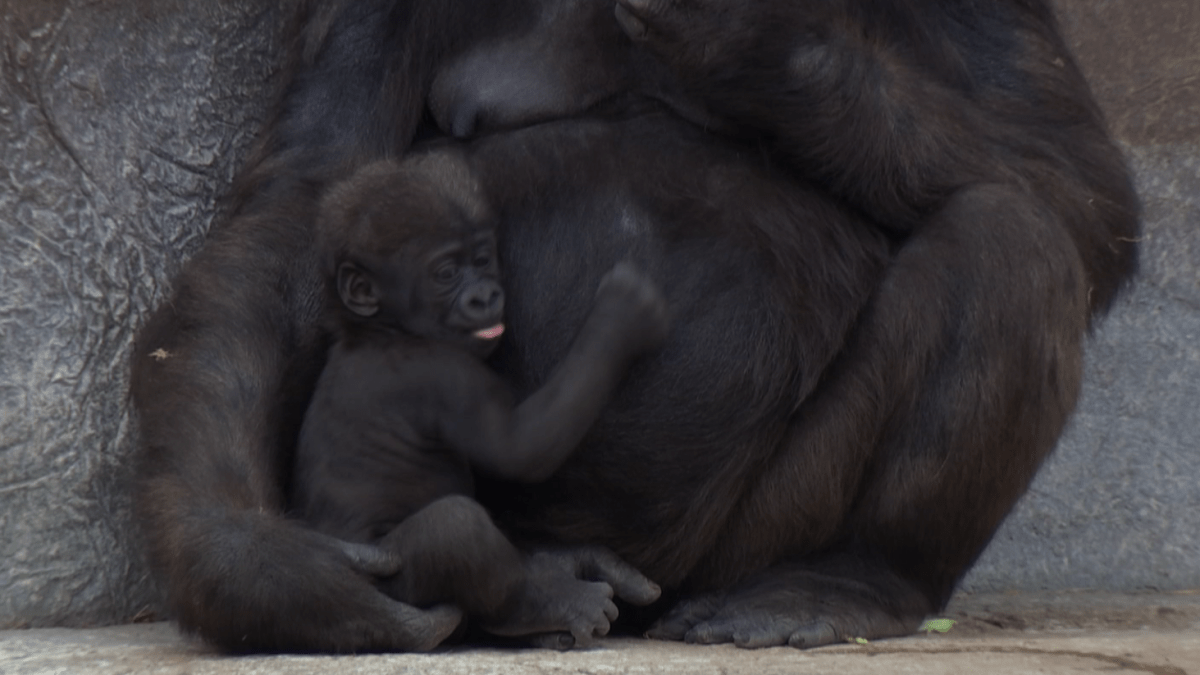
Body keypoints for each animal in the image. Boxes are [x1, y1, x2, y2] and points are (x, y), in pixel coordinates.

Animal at [289, 153, 667, 648]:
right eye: (446, 273)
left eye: (483, 260)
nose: (485, 295)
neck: (381, 330)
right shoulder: (445, 372)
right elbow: (519, 449)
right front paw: (618, 319)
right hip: (386, 583)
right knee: (458, 529)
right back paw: (540, 604)